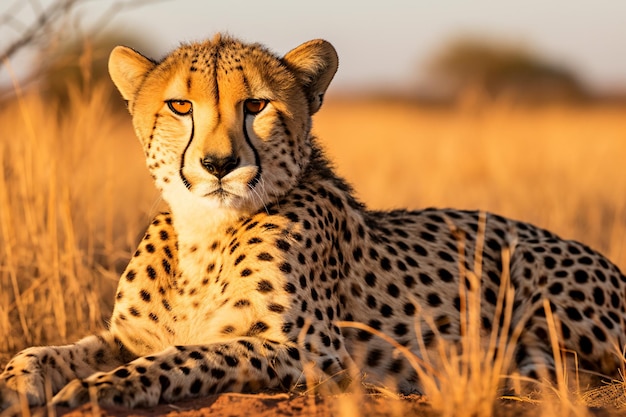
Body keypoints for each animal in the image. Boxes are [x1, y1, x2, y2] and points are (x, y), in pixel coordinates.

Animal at [1, 33, 624, 410]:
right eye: (180, 106)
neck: (204, 233)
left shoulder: (309, 351)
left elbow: (189, 355)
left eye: (255, 105)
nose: (219, 164)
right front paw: (19, 383)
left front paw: (92, 391)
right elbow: (47, 350)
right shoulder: (129, 337)